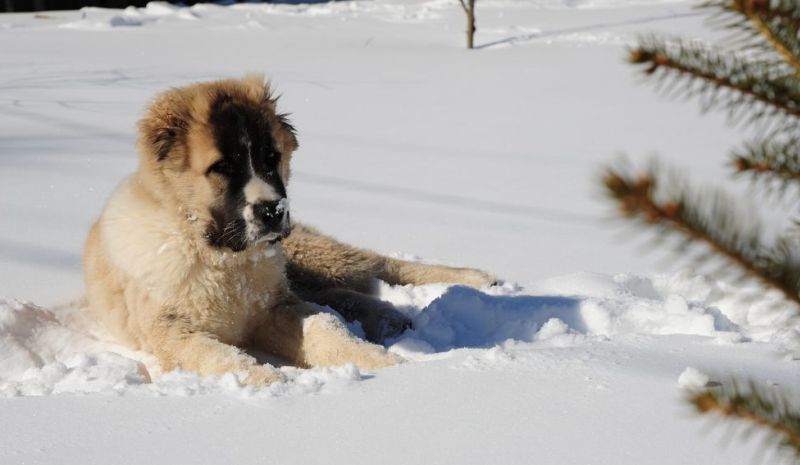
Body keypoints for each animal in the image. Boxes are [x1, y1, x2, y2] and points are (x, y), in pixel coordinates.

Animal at [81, 75, 494, 384]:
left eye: (271, 158)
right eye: (222, 168)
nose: (273, 210)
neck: (220, 259)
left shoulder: (274, 309)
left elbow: (323, 327)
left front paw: (386, 366)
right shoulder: (169, 331)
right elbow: (217, 355)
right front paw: (265, 381)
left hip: (312, 255)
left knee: (379, 266)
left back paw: (476, 280)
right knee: (341, 293)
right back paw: (388, 317)